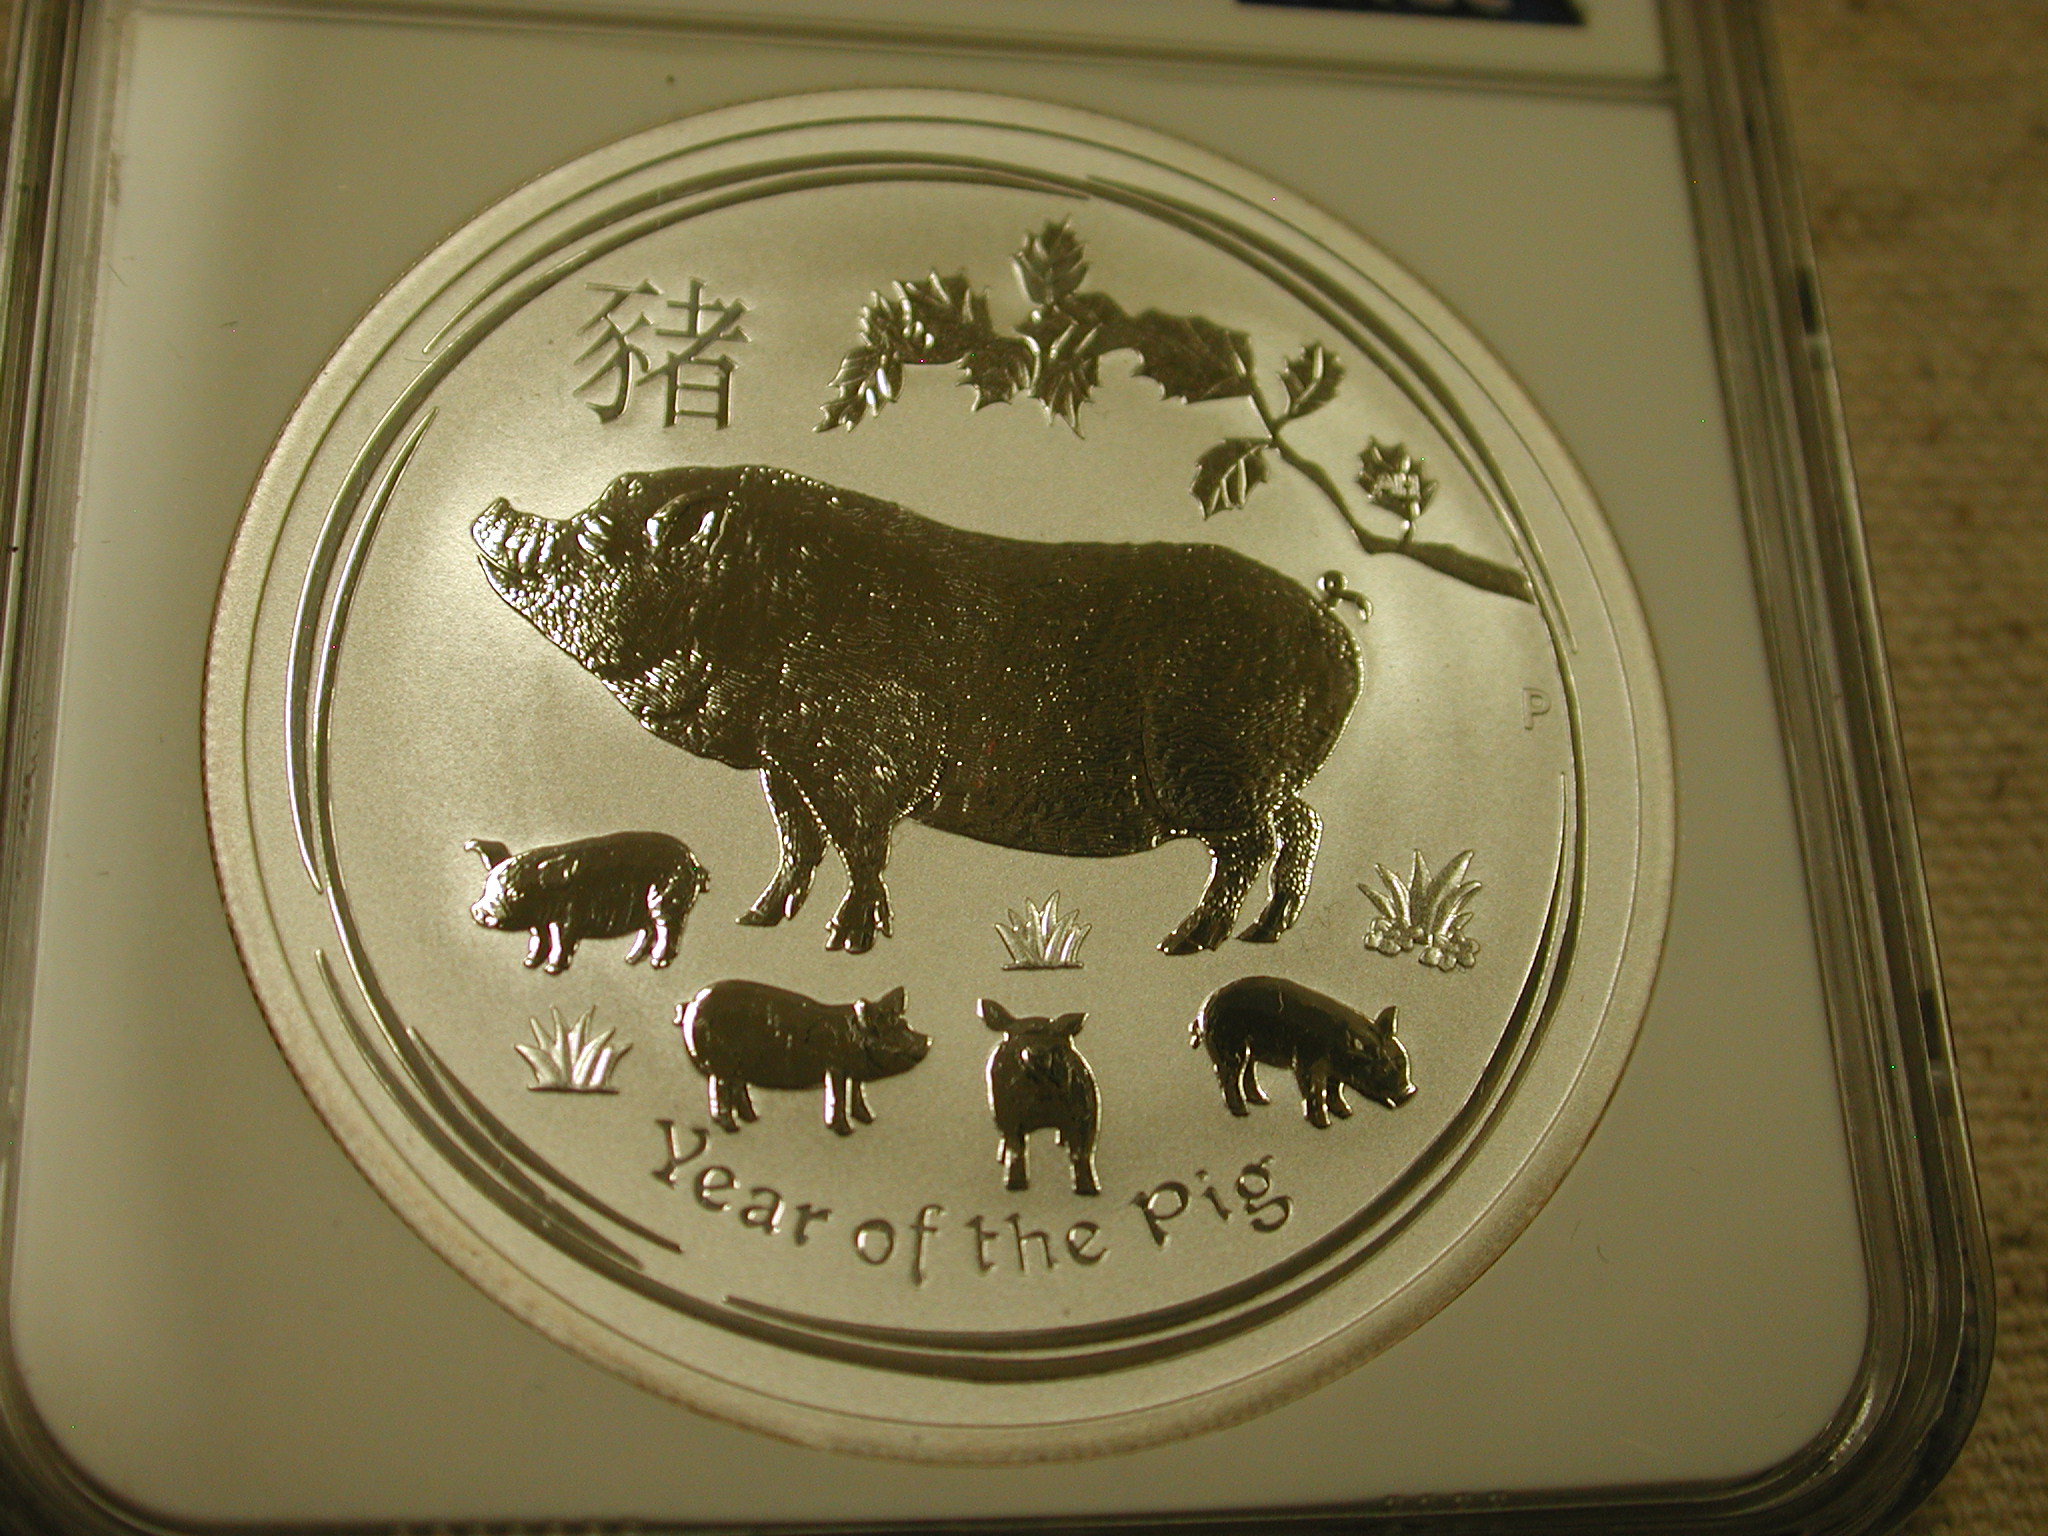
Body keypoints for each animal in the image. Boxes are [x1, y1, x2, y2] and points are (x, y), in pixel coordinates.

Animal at [465, 831, 708, 974]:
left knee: (668, 930)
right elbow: (539, 940)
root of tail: (694, 862)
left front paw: (551, 969)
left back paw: (657, 963)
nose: (478, 910)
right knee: (649, 932)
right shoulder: (539, 923)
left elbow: (561, 941)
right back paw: (631, 960)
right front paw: (529, 963)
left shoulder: (570, 917)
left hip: (666, 901)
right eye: (486, 888)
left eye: (515, 893)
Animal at [471, 465, 1359, 957]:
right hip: (1256, 779)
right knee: (1304, 824)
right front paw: (759, 921)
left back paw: (1185, 944)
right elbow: (799, 843)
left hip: (1212, 771)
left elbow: (861, 847)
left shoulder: (859, 756)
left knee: (1250, 847)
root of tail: (1333, 633)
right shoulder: (783, 761)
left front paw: (848, 943)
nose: (489, 511)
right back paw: (1265, 933)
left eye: (600, 538)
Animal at [677, 980, 930, 1135]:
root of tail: (690, 1005)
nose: (927, 1040)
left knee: (737, 1088)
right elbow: (839, 1095)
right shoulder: (835, 1067)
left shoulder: (854, 1072)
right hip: (722, 1063)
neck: (850, 1038)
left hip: (738, 1067)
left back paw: (752, 1118)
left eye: (904, 1025)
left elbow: (856, 1094)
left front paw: (867, 1120)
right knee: (720, 1089)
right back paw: (732, 1127)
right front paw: (844, 1130)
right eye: (891, 1031)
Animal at [980, 999, 1099, 1195]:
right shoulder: (1009, 1118)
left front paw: (1087, 1188)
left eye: (1056, 1036)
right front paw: (1015, 1183)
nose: (1038, 1054)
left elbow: (1080, 1153)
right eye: (1013, 1035)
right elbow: (1016, 1150)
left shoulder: (1084, 1117)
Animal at [1191, 976, 1415, 1128]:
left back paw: (1263, 1100)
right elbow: (1314, 1090)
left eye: (1402, 1061)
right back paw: (1242, 1112)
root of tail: (1204, 1012)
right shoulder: (1305, 1062)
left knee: (1247, 1073)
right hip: (1230, 1048)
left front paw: (1346, 1114)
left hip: (1249, 1052)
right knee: (1228, 1076)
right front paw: (1324, 1124)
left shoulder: (1334, 1073)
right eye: (1382, 1069)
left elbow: (1334, 1089)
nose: (1409, 1091)